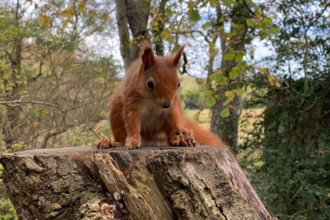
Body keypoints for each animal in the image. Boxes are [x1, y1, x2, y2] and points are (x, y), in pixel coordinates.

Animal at [94, 42, 226, 150]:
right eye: (150, 83)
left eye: (178, 84)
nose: (166, 104)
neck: (152, 101)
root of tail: (150, 132)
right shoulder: (131, 100)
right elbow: (131, 122)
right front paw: (134, 140)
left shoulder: (173, 106)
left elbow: (174, 117)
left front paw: (183, 130)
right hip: (116, 111)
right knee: (120, 138)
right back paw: (109, 142)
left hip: (172, 114)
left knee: (171, 136)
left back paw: (181, 141)